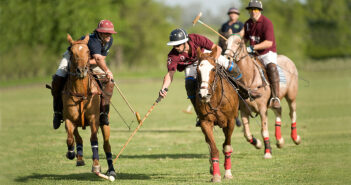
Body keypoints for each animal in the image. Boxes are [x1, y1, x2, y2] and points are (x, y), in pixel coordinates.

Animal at [63, 34, 117, 177]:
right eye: (71, 52)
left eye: (88, 51)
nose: (81, 70)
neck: (81, 92)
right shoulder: (69, 119)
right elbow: (70, 138)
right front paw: (71, 153)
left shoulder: (94, 120)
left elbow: (94, 140)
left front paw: (96, 165)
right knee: (78, 138)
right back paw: (79, 157)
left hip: (104, 123)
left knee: (106, 145)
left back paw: (111, 170)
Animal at [197, 46, 241, 182]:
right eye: (197, 69)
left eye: (213, 69)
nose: (203, 94)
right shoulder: (205, 122)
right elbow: (214, 149)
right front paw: (216, 175)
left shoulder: (230, 121)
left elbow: (227, 147)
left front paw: (228, 173)